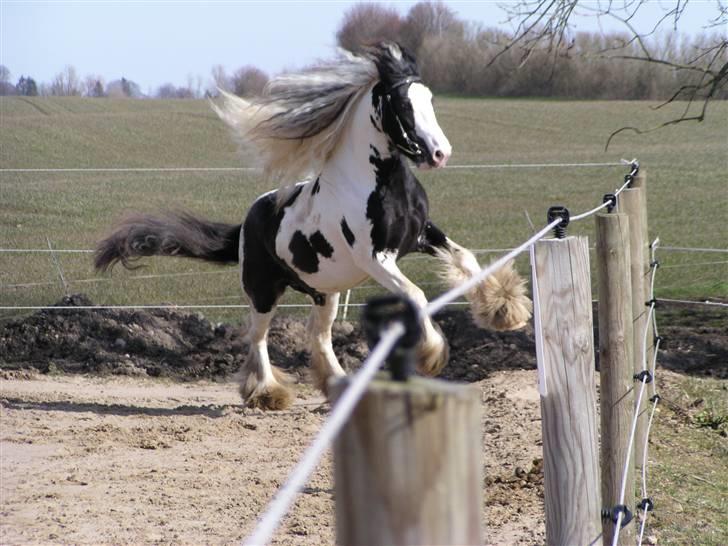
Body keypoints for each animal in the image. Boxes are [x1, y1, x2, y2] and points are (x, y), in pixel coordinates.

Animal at [94, 43, 532, 408]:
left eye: (430, 99)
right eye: (402, 104)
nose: (440, 154)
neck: (377, 183)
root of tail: (247, 220)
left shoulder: (423, 235)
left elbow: (466, 260)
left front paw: (505, 312)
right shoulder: (376, 258)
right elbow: (416, 294)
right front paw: (432, 353)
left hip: (326, 291)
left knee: (318, 335)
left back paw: (339, 388)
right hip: (263, 290)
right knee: (258, 336)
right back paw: (266, 393)